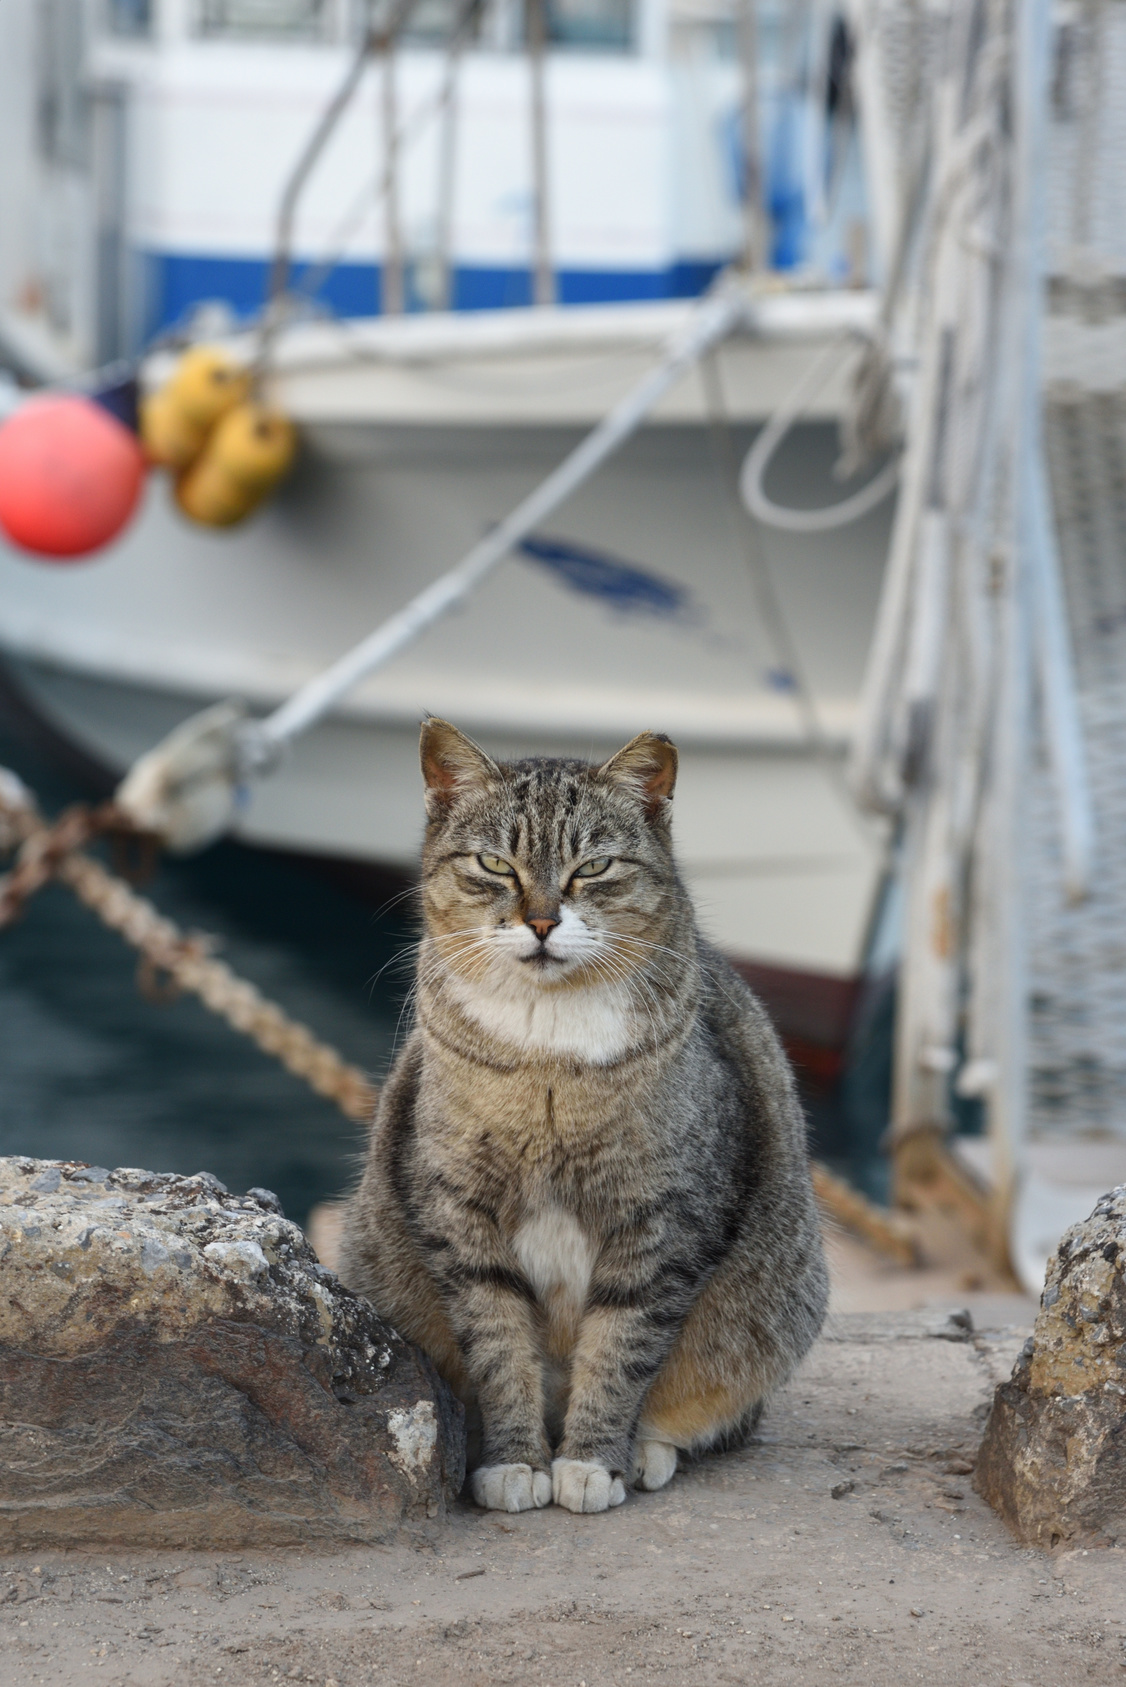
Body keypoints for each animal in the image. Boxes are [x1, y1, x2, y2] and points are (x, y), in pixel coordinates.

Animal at [337, 718, 827, 1511]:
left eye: (592, 867)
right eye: (493, 863)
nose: (540, 920)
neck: (547, 1049)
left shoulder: (664, 1219)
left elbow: (622, 1346)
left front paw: (593, 1459)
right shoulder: (459, 1212)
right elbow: (499, 1346)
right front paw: (515, 1461)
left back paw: (646, 1450)